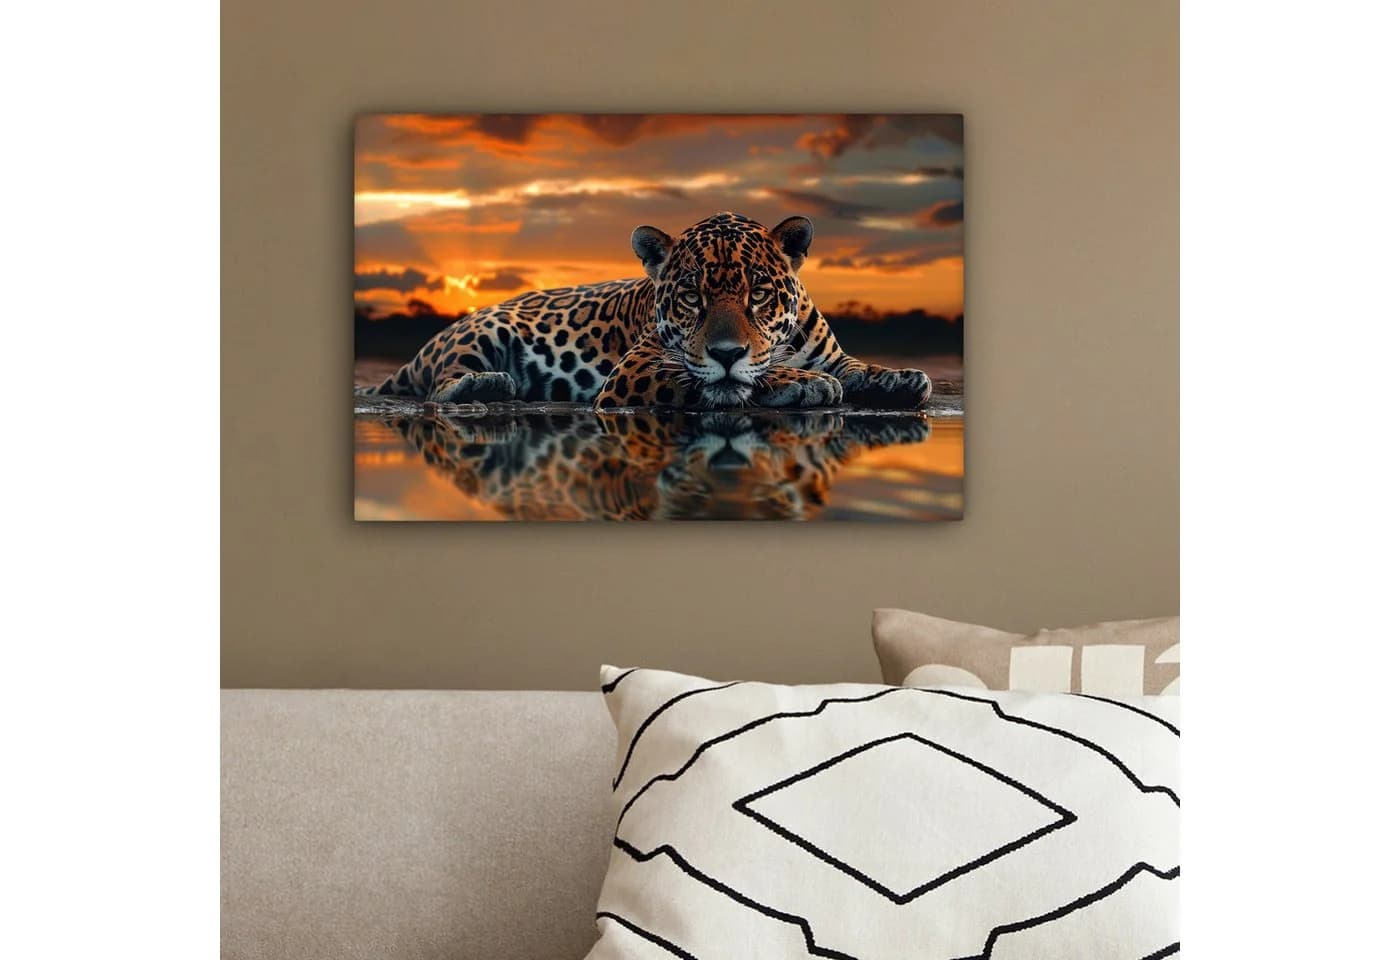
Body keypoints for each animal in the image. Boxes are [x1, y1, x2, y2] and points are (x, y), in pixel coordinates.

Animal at [362, 212, 934, 411]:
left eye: (758, 294)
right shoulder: (637, 369)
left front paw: (900, 378)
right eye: (691, 298)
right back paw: (489, 384)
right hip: (482, 332)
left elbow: (858, 367)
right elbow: (727, 379)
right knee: (440, 386)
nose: (727, 350)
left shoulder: (831, 353)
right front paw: (800, 383)